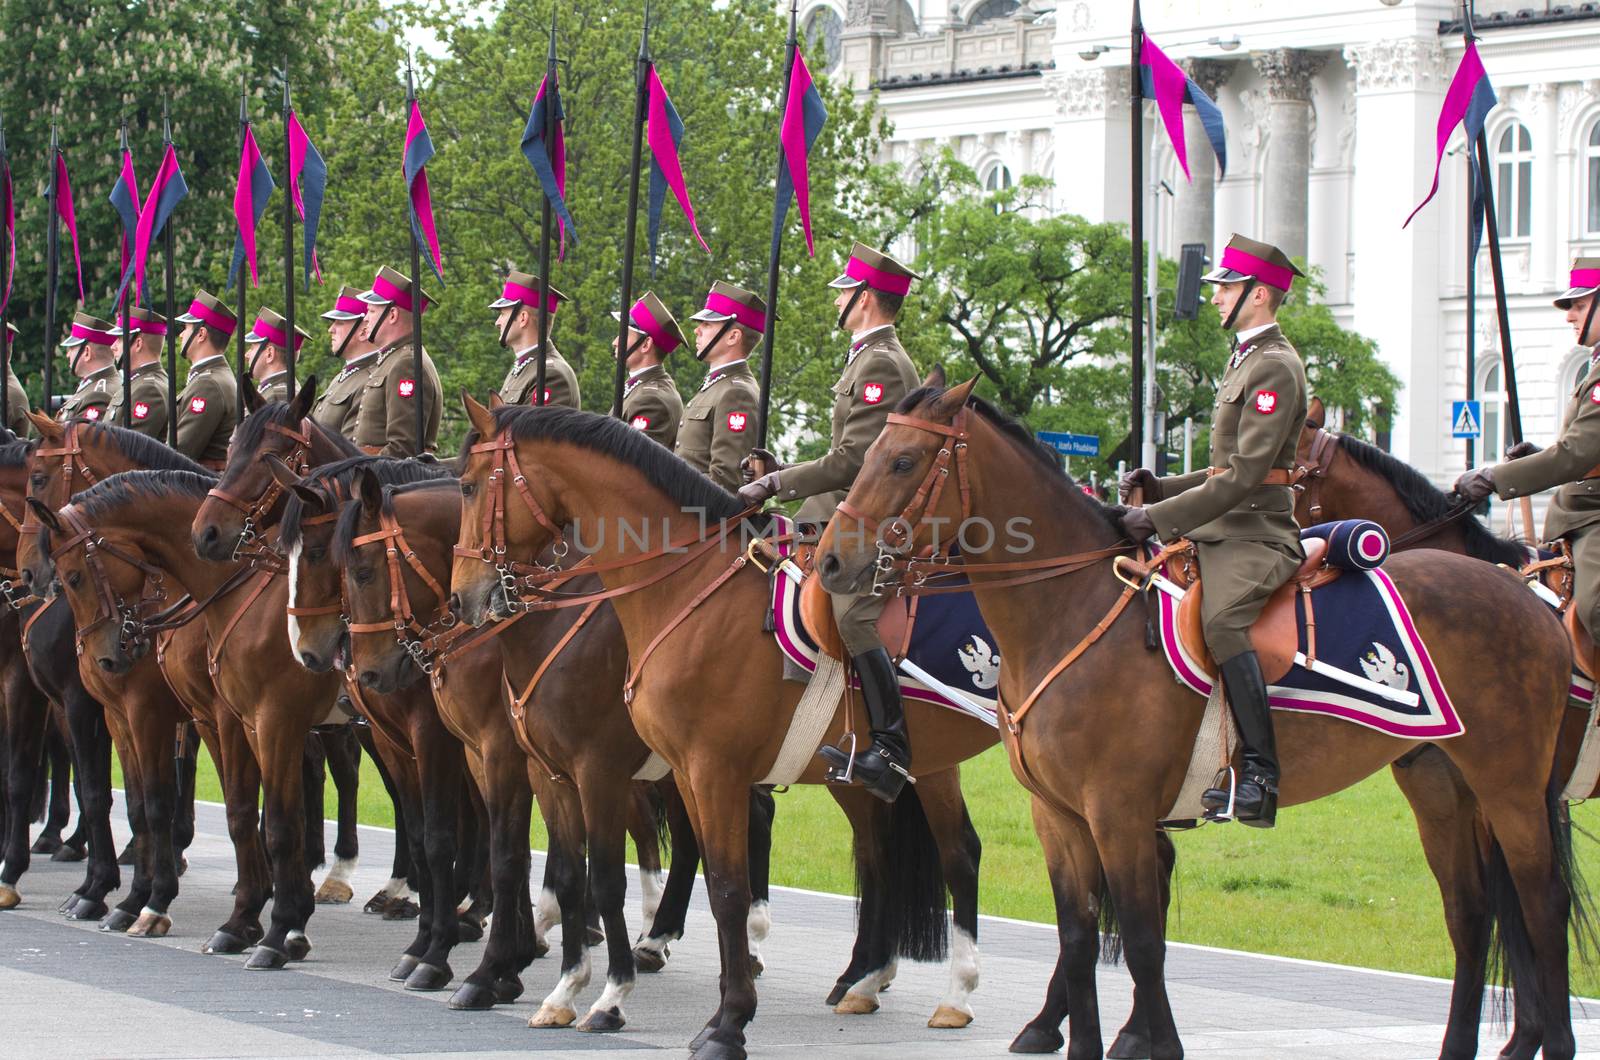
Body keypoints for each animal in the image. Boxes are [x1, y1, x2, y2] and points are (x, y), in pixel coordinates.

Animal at [451, 400, 998, 1060]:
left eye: (469, 485)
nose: (463, 599)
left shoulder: (642, 770)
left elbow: (662, 882)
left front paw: (657, 1007)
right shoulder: (607, 771)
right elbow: (643, 876)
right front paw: (566, 988)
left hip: (940, 765)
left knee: (960, 855)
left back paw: (957, 994)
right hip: (858, 776)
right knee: (878, 856)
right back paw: (863, 978)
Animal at [819, 382, 1580, 1060]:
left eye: (902, 461)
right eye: (868, 454)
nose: (830, 558)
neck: (1067, 609)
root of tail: (1528, 598)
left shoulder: (1120, 814)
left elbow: (1141, 938)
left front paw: (1150, 1042)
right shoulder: (1059, 818)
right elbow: (1078, 936)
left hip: (1511, 789)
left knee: (1541, 906)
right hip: (1439, 784)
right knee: (1471, 915)